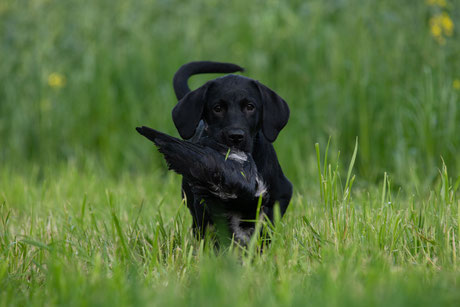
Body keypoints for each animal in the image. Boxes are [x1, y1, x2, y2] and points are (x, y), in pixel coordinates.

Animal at [171, 60, 292, 243]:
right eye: (217, 108)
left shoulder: (281, 194)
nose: (235, 136)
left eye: (250, 107)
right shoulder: (205, 204)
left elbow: (265, 225)